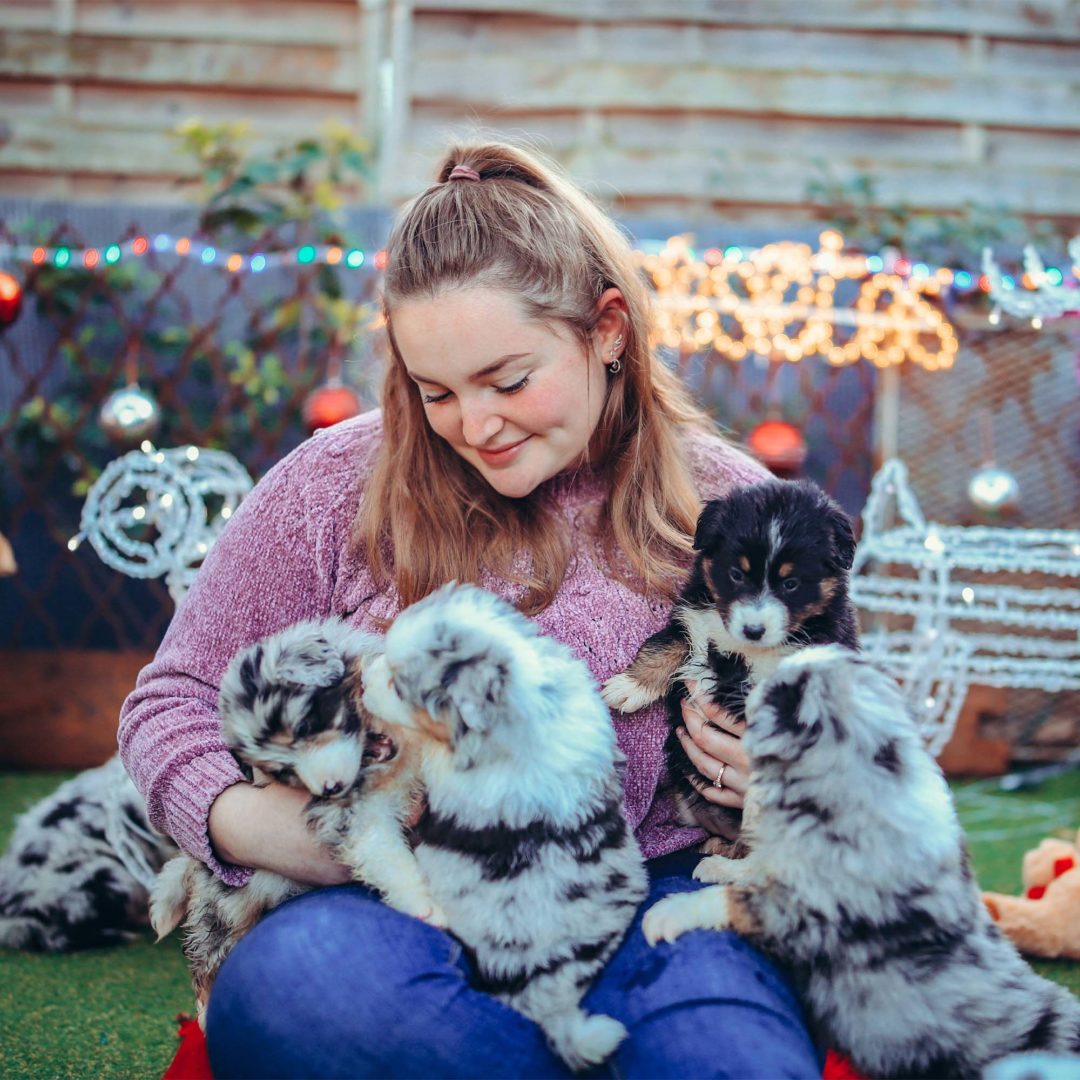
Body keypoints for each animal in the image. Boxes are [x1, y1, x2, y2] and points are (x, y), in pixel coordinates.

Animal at [149, 622, 434, 1023]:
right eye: (283, 771)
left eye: (307, 724)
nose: (331, 786)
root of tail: (195, 863)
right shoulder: (354, 817)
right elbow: (388, 857)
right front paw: (425, 905)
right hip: (228, 910)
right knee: (208, 958)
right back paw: (204, 1015)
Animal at [604, 483, 855, 851]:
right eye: (736, 574)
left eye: (791, 584)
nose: (753, 629)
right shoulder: (693, 620)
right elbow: (663, 644)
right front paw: (630, 686)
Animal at [639, 643, 1080, 1075]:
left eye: (785, 691)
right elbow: (760, 861)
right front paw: (721, 865)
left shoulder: (813, 910)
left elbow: (739, 900)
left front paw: (670, 912)